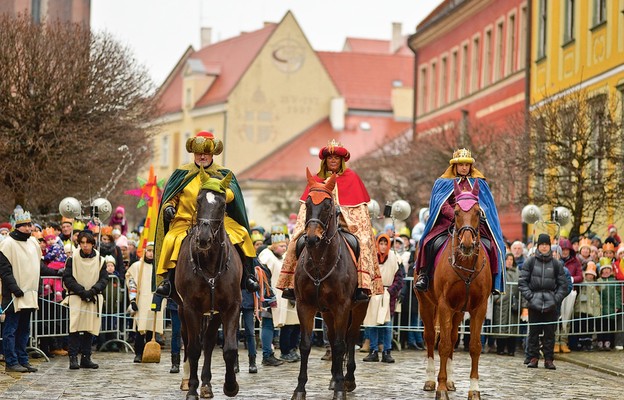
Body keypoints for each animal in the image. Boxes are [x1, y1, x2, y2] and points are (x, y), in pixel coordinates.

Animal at [176, 170, 244, 400]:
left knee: (208, 342)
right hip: (182, 309)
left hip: (213, 313)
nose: (203, 239)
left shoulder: (231, 307)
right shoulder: (190, 307)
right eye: (198, 200)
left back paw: (206, 383)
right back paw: (188, 381)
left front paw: (230, 385)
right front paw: (192, 389)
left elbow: (229, 349)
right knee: (188, 341)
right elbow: (193, 348)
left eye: (222, 205)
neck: (211, 264)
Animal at [292, 168, 370, 400]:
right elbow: (305, 345)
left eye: (328, 205)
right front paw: (300, 389)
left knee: (349, 339)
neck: (320, 263)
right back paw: (335, 377)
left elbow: (340, 344)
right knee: (335, 337)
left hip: (359, 307)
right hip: (326, 312)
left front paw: (340, 389)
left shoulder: (342, 306)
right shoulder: (305, 306)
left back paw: (347, 379)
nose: (311, 238)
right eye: (308, 204)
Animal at [416, 180, 490, 400]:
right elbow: (444, 345)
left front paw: (474, 389)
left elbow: (474, 346)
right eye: (456, 211)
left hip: (459, 311)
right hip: (425, 303)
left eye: (478, 212)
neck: (465, 265)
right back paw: (431, 380)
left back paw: (450, 380)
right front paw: (440, 388)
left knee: (454, 337)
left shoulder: (479, 308)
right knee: (431, 337)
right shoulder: (444, 306)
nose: (466, 245)